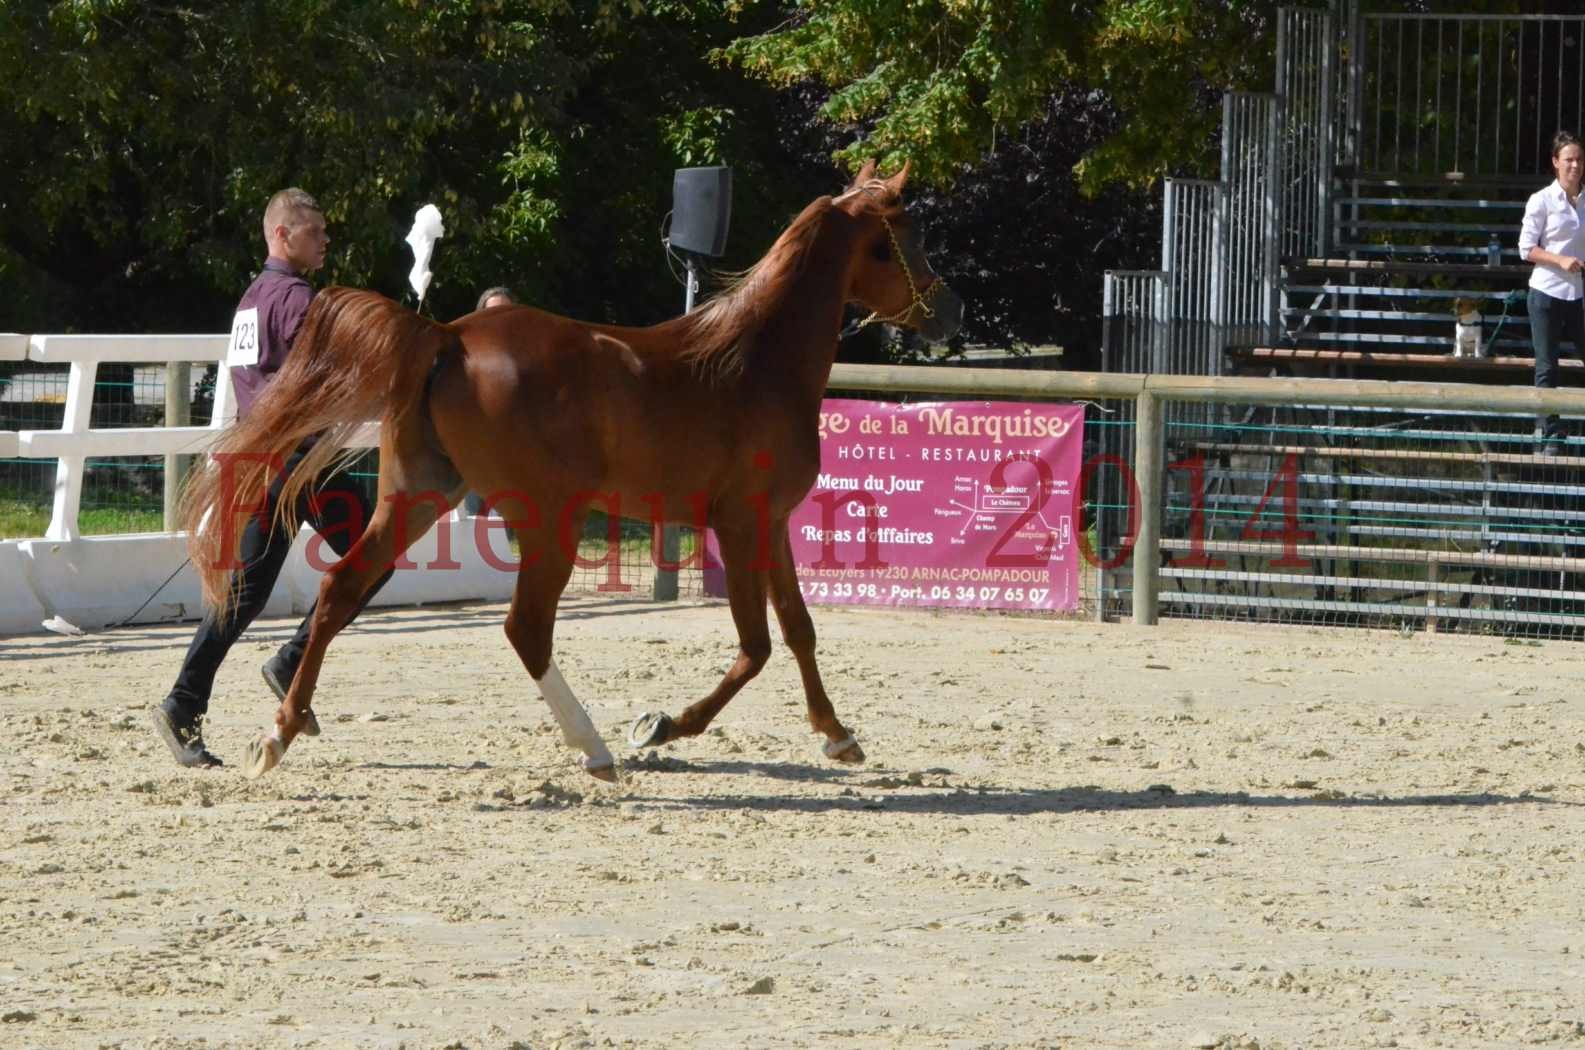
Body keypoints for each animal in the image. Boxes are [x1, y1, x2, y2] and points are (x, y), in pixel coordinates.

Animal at [179, 162, 957, 780]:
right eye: (907, 233)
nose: (946, 309)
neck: (755, 362)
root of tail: (445, 335)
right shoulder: (739, 524)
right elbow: (756, 645)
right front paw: (662, 726)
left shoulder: (771, 524)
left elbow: (798, 630)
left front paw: (837, 736)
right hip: (550, 520)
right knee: (525, 627)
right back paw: (596, 748)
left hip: (417, 497)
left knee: (341, 590)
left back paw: (279, 733)